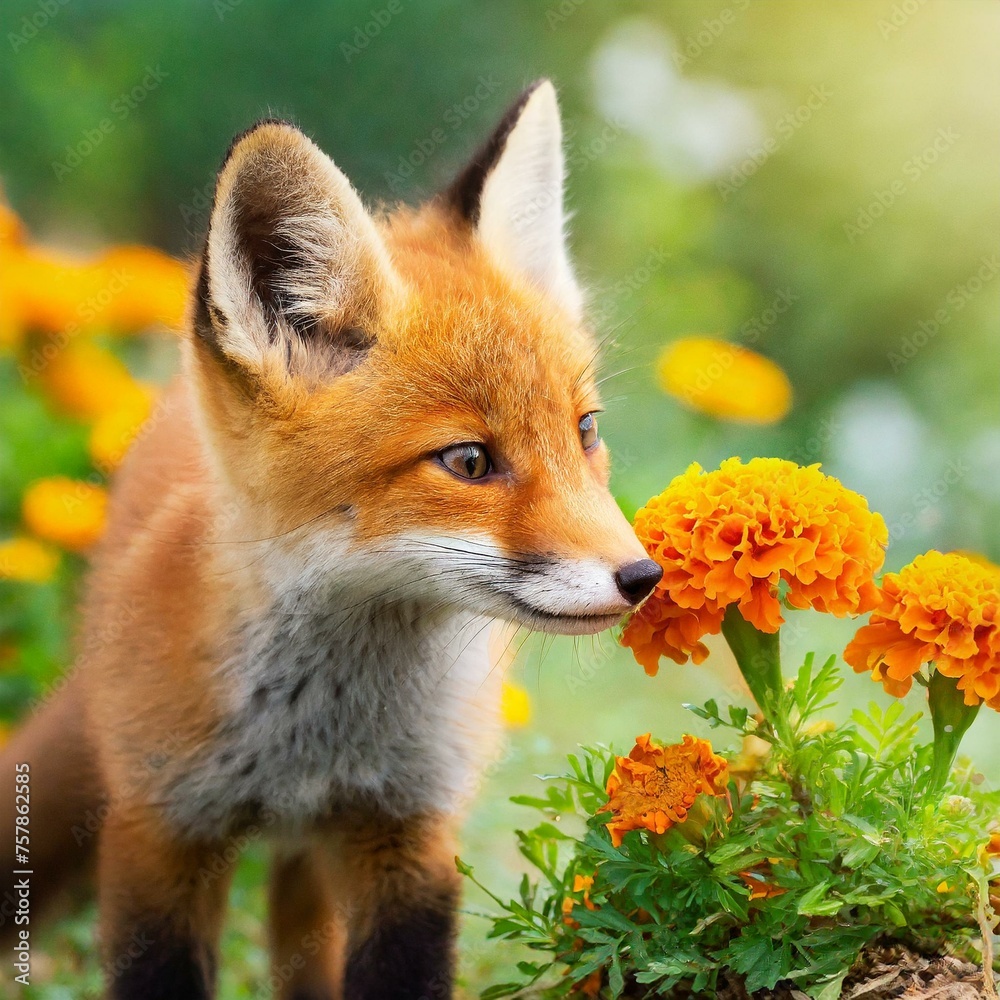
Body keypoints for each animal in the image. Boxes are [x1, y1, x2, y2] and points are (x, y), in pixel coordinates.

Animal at [0, 79, 662, 999]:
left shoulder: (408, 835)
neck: (313, 743)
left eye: (586, 430)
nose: (643, 576)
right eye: (468, 460)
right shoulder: (159, 834)